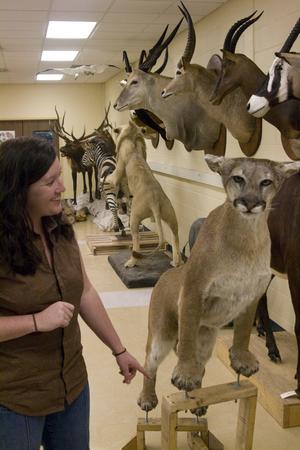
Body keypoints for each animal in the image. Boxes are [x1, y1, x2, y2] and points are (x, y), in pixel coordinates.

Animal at [106, 119, 180, 268]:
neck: (132, 137)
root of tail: (155, 202)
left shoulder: (118, 169)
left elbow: (112, 177)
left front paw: (104, 180)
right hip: (171, 216)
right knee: (175, 237)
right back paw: (176, 262)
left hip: (134, 217)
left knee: (136, 241)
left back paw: (131, 262)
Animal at [138, 155, 300, 414]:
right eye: (238, 178)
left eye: (266, 182)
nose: (249, 203)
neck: (247, 238)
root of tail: (165, 275)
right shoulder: (194, 289)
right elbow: (186, 339)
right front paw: (184, 373)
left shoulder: (250, 295)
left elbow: (243, 331)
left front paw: (242, 359)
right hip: (160, 335)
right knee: (149, 364)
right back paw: (148, 398)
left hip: (205, 341)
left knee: (200, 364)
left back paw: (197, 401)